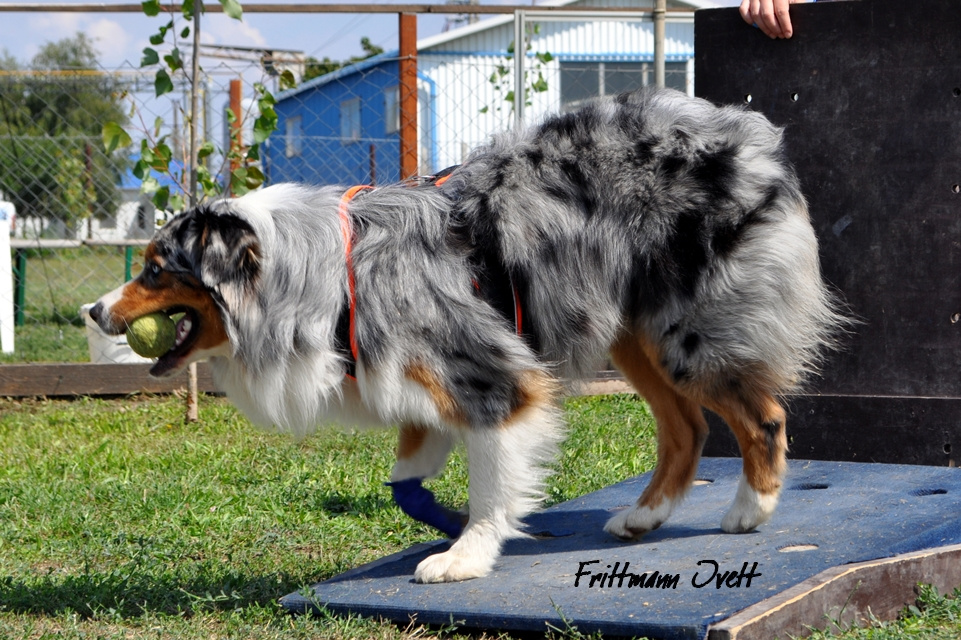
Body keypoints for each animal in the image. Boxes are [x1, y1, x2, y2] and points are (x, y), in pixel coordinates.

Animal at [94, 87, 844, 584]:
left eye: (156, 269)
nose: (92, 311)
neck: (326, 273)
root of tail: (749, 135)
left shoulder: (493, 379)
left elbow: (492, 478)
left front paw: (468, 550)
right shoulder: (411, 377)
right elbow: (405, 487)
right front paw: (453, 522)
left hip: (687, 332)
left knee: (761, 414)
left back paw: (750, 509)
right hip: (631, 335)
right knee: (686, 427)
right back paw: (642, 517)